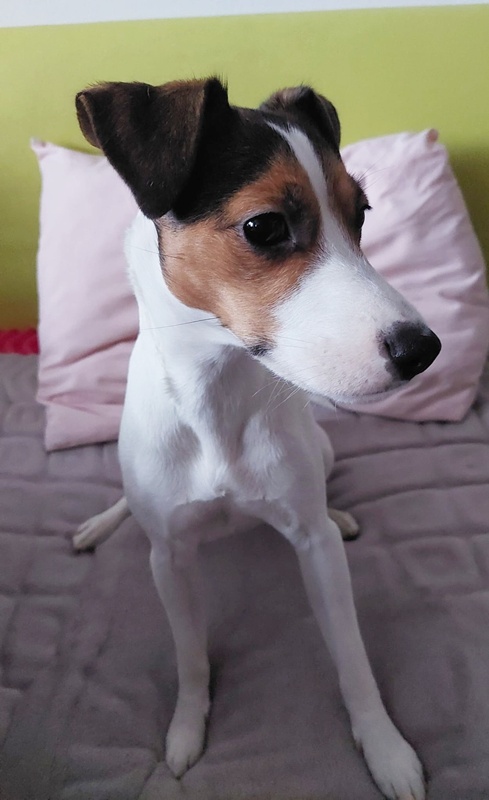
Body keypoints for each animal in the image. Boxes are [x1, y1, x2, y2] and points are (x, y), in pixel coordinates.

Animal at [73, 78, 441, 799]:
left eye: (362, 213)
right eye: (264, 226)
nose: (424, 350)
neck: (219, 399)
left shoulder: (316, 553)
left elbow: (351, 656)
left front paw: (384, 746)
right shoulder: (169, 559)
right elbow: (189, 659)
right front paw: (187, 729)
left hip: (320, 458)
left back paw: (339, 511)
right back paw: (101, 523)